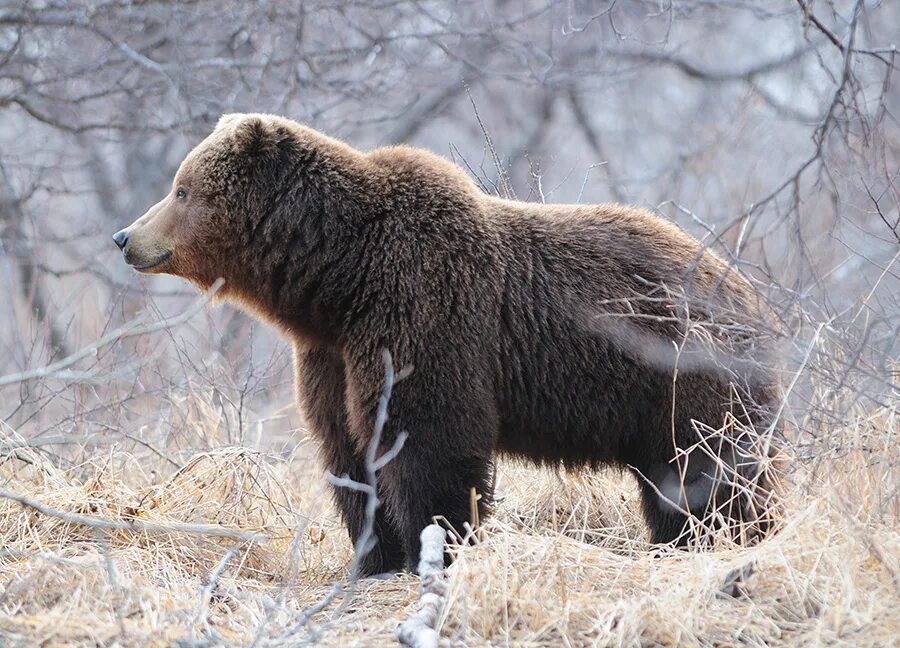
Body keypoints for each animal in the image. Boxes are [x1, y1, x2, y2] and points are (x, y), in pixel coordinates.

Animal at [116, 114, 784, 576]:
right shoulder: (333, 353)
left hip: (683, 373)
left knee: (708, 468)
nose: (125, 236)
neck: (341, 279)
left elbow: (429, 439)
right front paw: (372, 555)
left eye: (181, 189)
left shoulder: (424, 310)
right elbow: (348, 448)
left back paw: (733, 538)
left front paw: (435, 548)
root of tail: (751, 293)